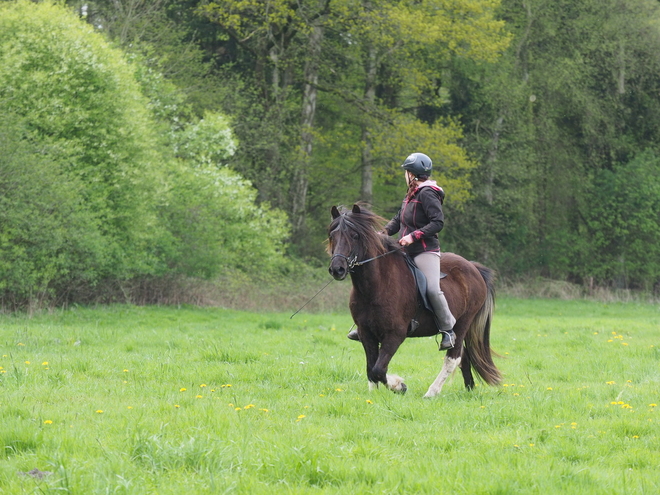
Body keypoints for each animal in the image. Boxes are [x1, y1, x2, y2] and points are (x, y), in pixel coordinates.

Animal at [328, 203, 502, 398]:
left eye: (355, 235)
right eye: (332, 236)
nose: (337, 269)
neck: (375, 286)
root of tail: (474, 267)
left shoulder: (395, 334)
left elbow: (378, 369)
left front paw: (399, 385)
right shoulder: (366, 333)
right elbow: (371, 368)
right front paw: (374, 394)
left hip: (463, 323)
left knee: (453, 357)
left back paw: (432, 392)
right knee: (463, 357)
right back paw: (469, 389)